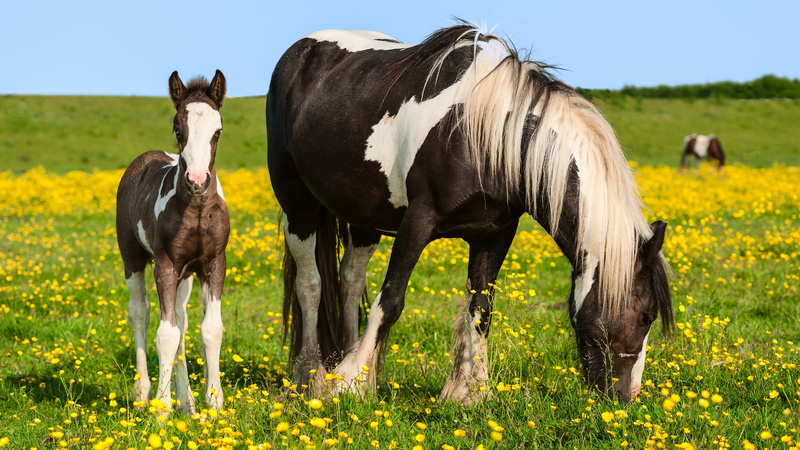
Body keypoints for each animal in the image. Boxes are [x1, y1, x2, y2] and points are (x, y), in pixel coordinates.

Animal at [116, 70, 229, 414]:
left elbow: (209, 329)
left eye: (218, 130)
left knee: (181, 320)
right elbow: (165, 333)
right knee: (140, 312)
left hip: (186, 276)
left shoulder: (213, 264)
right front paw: (162, 411)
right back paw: (143, 394)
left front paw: (213, 404)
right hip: (132, 258)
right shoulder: (166, 265)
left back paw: (187, 401)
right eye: (178, 129)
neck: (197, 209)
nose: (198, 180)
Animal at [266, 23, 674, 405]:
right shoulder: (418, 221)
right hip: (298, 206)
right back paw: (310, 375)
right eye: (646, 316)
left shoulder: (494, 233)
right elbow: (390, 300)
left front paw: (471, 393)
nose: (625, 395)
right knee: (311, 284)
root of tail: (299, 52)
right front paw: (347, 384)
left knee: (350, 280)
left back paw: (348, 362)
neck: (483, 135)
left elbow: (481, 309)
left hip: (366, 217)